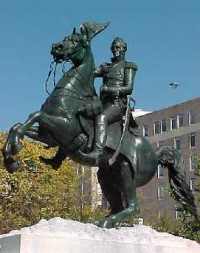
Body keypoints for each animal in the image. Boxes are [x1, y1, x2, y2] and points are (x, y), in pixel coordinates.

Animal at [1, 21, 198, 227]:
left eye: (76, 40)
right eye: (65, 38)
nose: (56, 47)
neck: (73, 94)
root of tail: (155, 154)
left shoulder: (64, 128)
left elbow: (35, 115)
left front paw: (14, 154)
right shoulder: (50, 136)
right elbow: (19, 125)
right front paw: (10, 159)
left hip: (125, 171)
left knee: (133, 206)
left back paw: (108, 221)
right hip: (106, 176)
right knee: (118, 204)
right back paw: (104, 221)